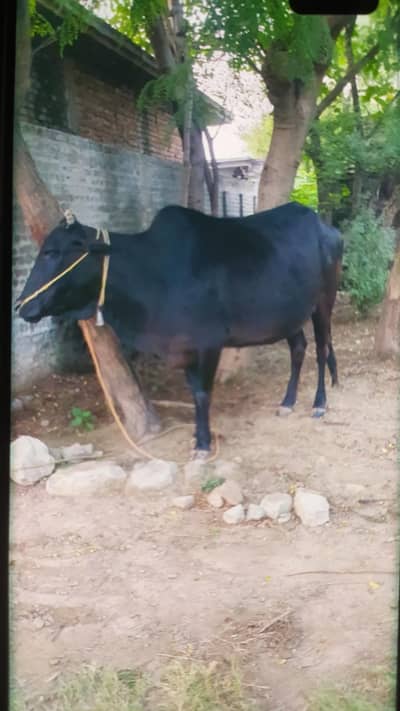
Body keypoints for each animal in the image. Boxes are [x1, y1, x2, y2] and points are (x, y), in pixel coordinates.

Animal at [16, 202, 343, 454]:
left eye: (52, 252)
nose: (21, 305)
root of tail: (327, 228)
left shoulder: (209, 344)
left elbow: (202, 394)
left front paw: (204, 445)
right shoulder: (184, 349)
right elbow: (193, 392)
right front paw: (197, 436)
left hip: (323, 302)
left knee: (321, 348)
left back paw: (319, 403)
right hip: (289, 314)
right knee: (299, 349)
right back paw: (288, 402)